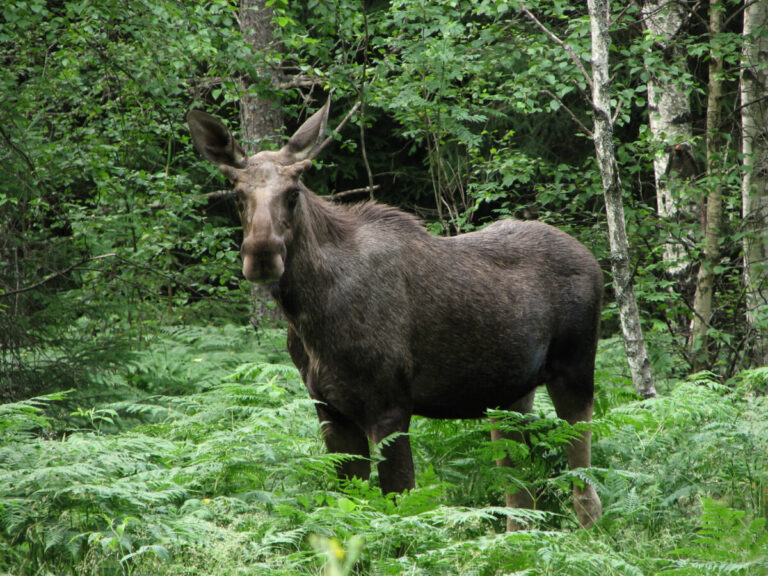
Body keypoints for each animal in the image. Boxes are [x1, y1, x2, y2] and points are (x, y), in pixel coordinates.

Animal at [189, 100, 604, 532]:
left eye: (294, 191)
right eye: (237, 193)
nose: (262, 254)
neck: (308, 319)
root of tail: (593, 260)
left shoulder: (389, 405)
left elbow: (401, 508)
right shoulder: (330, 411)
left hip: (575, 370)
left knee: (584, 481)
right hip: (509, 394)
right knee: (520, 493)